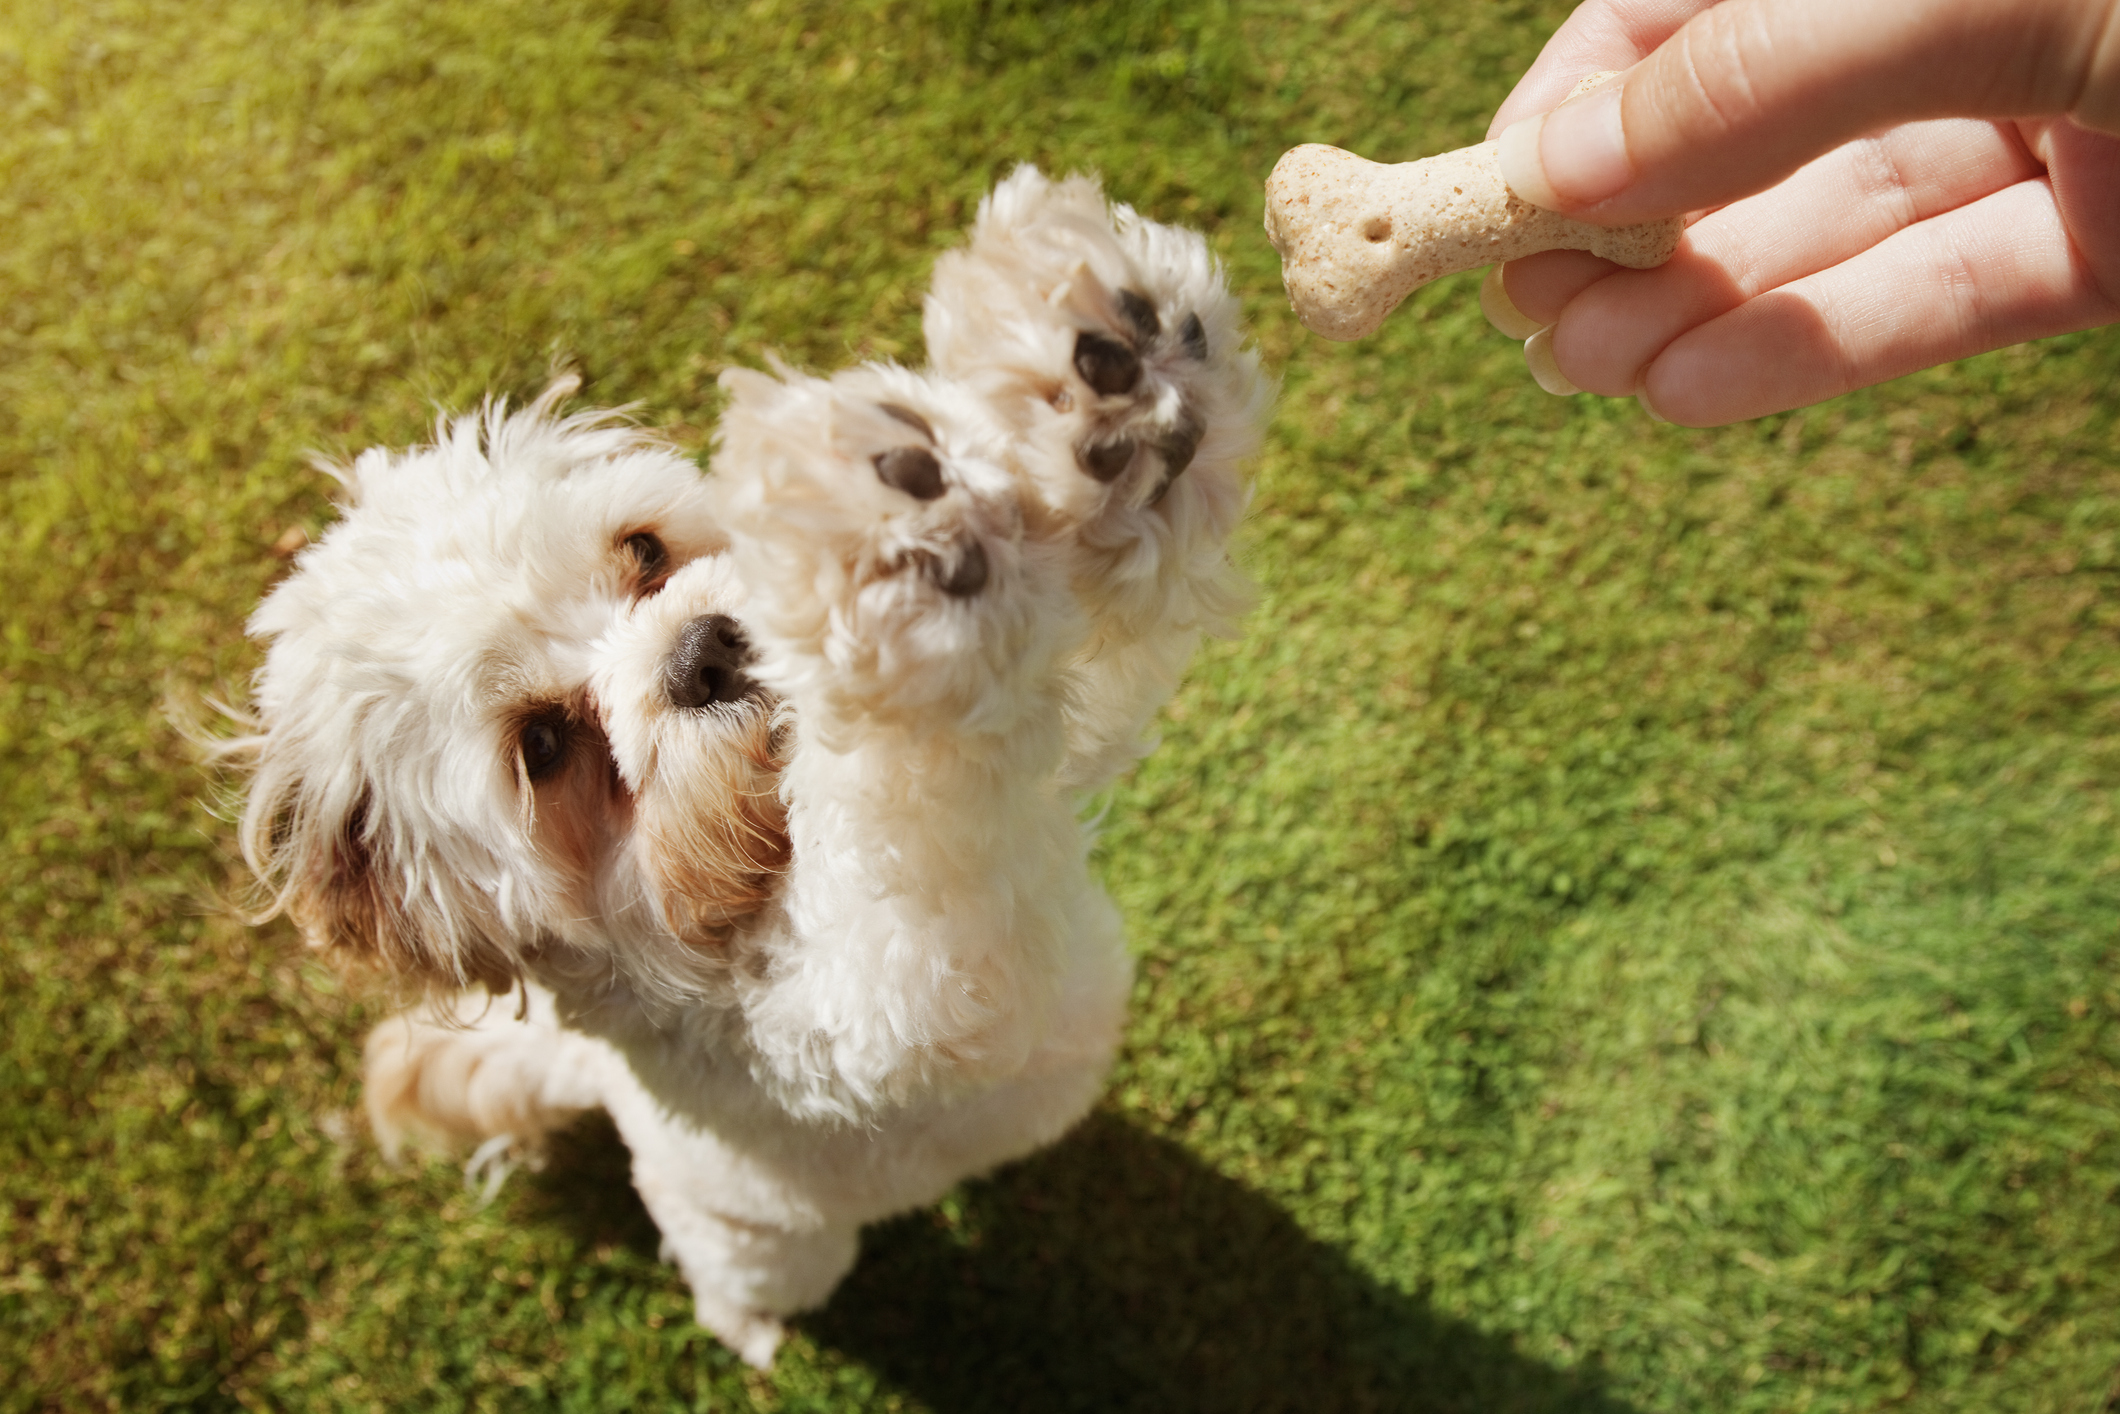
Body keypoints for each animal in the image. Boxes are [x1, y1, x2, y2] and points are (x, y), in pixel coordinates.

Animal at [225, 168, 1263, 1373]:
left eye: (642, 551)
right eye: (545, 746)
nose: (703, 651)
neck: (744, 870)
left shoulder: (1073, 724)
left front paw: (1105, 366)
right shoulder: (863, 1011)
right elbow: (910, 847)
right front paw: (900, 555)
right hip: (763, 1243)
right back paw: (753, 1332)